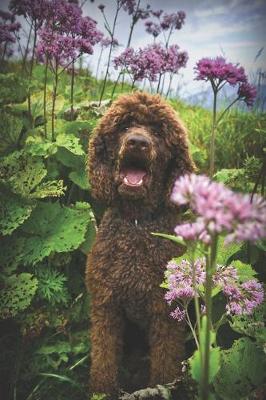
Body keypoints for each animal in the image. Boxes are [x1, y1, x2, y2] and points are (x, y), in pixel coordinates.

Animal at [86, 92, 194, 398]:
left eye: (158, 132)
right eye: (124, 126)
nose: (137, 142)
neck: (136, 224)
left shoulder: (166, 316)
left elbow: (165, 368)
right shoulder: (106, 308)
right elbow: (103, 361)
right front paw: (102, 391)